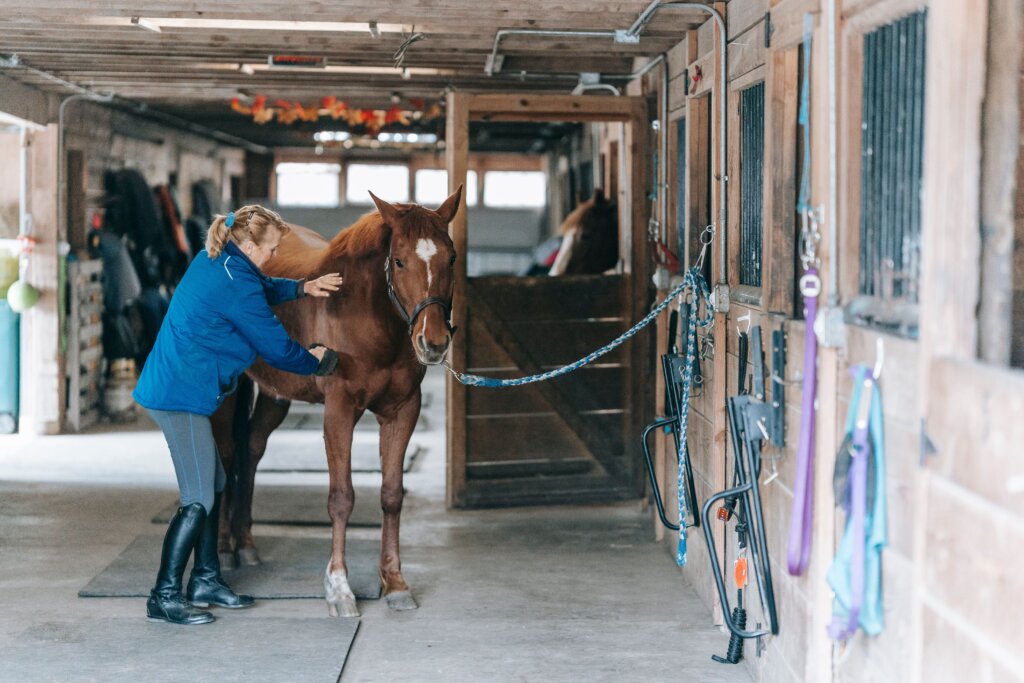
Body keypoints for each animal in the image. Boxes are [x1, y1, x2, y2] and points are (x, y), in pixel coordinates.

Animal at [210, 188, 462, 617]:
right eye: (399, 260)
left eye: (451, 258)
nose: (433, 344)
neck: (366, 315)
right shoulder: (340, 410)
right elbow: (342, 498)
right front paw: (340, 588)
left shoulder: (402, 411)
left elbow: (391, 495)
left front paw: (395, 583)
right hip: (228, 394)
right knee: (227, 456)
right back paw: (226, 550)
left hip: (276, 395)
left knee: (251, 450)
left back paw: (247, 545)